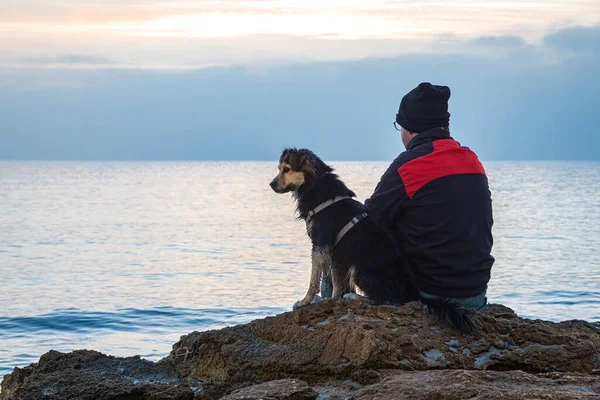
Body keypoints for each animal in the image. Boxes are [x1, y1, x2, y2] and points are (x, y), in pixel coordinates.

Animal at [270, 148, 474, 332]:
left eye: (286, 169)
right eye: (279, 168)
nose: (271, 184)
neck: (314, 184)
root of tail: (413, 291)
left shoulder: (322, 245)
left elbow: (316, 279)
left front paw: (306, 301)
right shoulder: (335, 253)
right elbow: (334, 280)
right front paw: (330, 299)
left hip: (359, 270)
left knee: (386, 300)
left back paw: (355, 297)